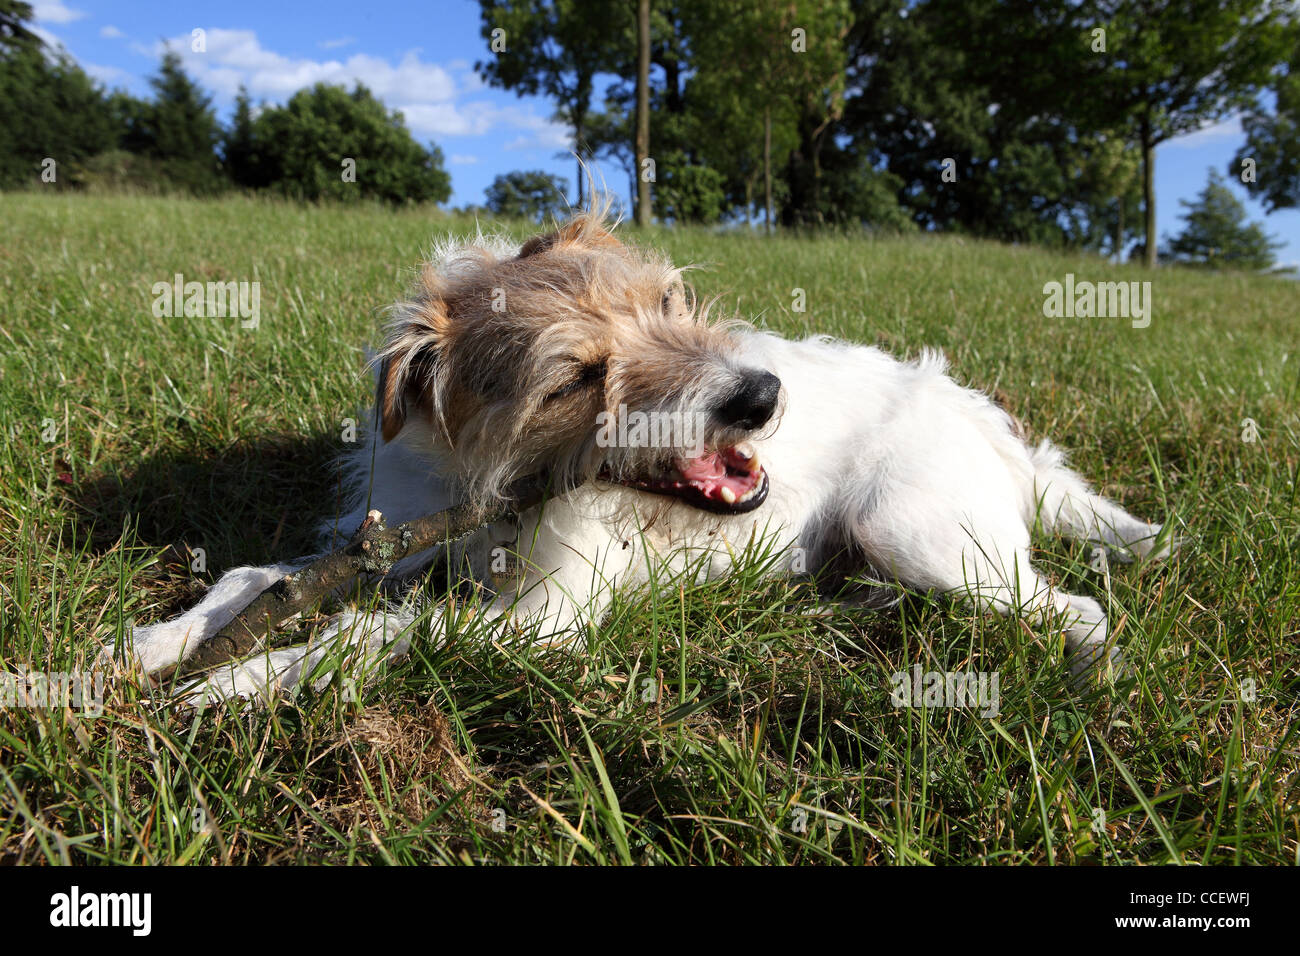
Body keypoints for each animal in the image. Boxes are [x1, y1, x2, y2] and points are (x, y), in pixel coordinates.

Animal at [114, 210, 1180, 702]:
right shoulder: (389, 536)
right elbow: (256, 576)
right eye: (577, 377)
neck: (483, 486)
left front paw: (237, 684)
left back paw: (1092, 674)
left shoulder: (541, 622)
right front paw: (150, 646)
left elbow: (372, 635)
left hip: (919, 531)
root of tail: (982, 418)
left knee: (1079, 607)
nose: (763, 397)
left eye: (670, 302)